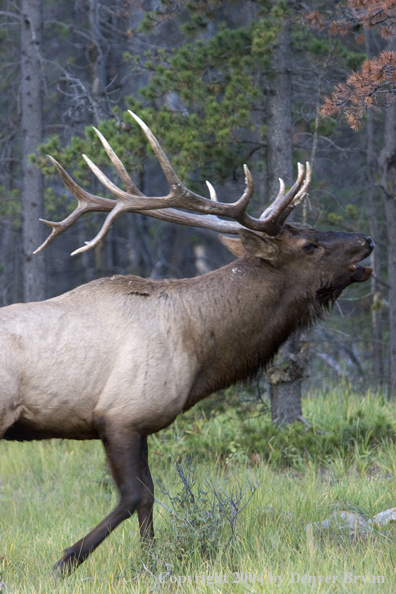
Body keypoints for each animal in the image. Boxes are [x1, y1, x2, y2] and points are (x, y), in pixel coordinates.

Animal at [0, 112, 372, 572]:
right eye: (310, 244)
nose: (367, 240)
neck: (200, 347)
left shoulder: (139, 422)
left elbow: (148, 497)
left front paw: (150, 561)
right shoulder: (119, 415)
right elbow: (132, 497)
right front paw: (66, 560)